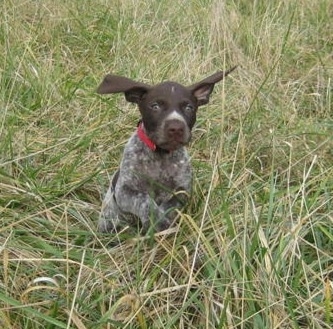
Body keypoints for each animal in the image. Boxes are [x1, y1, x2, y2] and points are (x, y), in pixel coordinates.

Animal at [97, 66, 235, 232]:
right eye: (155, 106)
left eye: (189, 107)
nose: (176, 128)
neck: (160, 155)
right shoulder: (124, 190)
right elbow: (144, 199)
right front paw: (156, 219)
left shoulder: (183, 190)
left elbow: (172, 203)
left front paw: (163, 219)